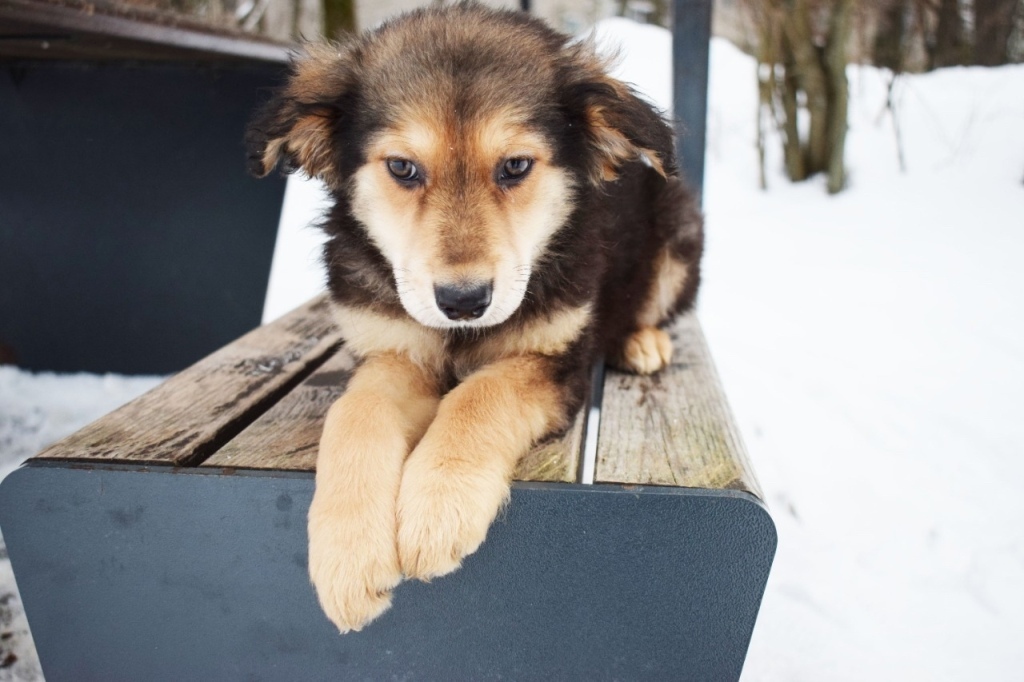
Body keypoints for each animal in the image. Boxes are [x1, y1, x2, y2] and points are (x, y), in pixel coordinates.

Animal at [245, 2, 704, 630]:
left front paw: (439, 506)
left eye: (515, 166)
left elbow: (479, 395)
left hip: (678, 233)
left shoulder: (553, 359)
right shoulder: (393, 350)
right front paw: (348, 555)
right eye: (402, 168)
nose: (463, 301)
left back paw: (641, 342)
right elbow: (355, 411)